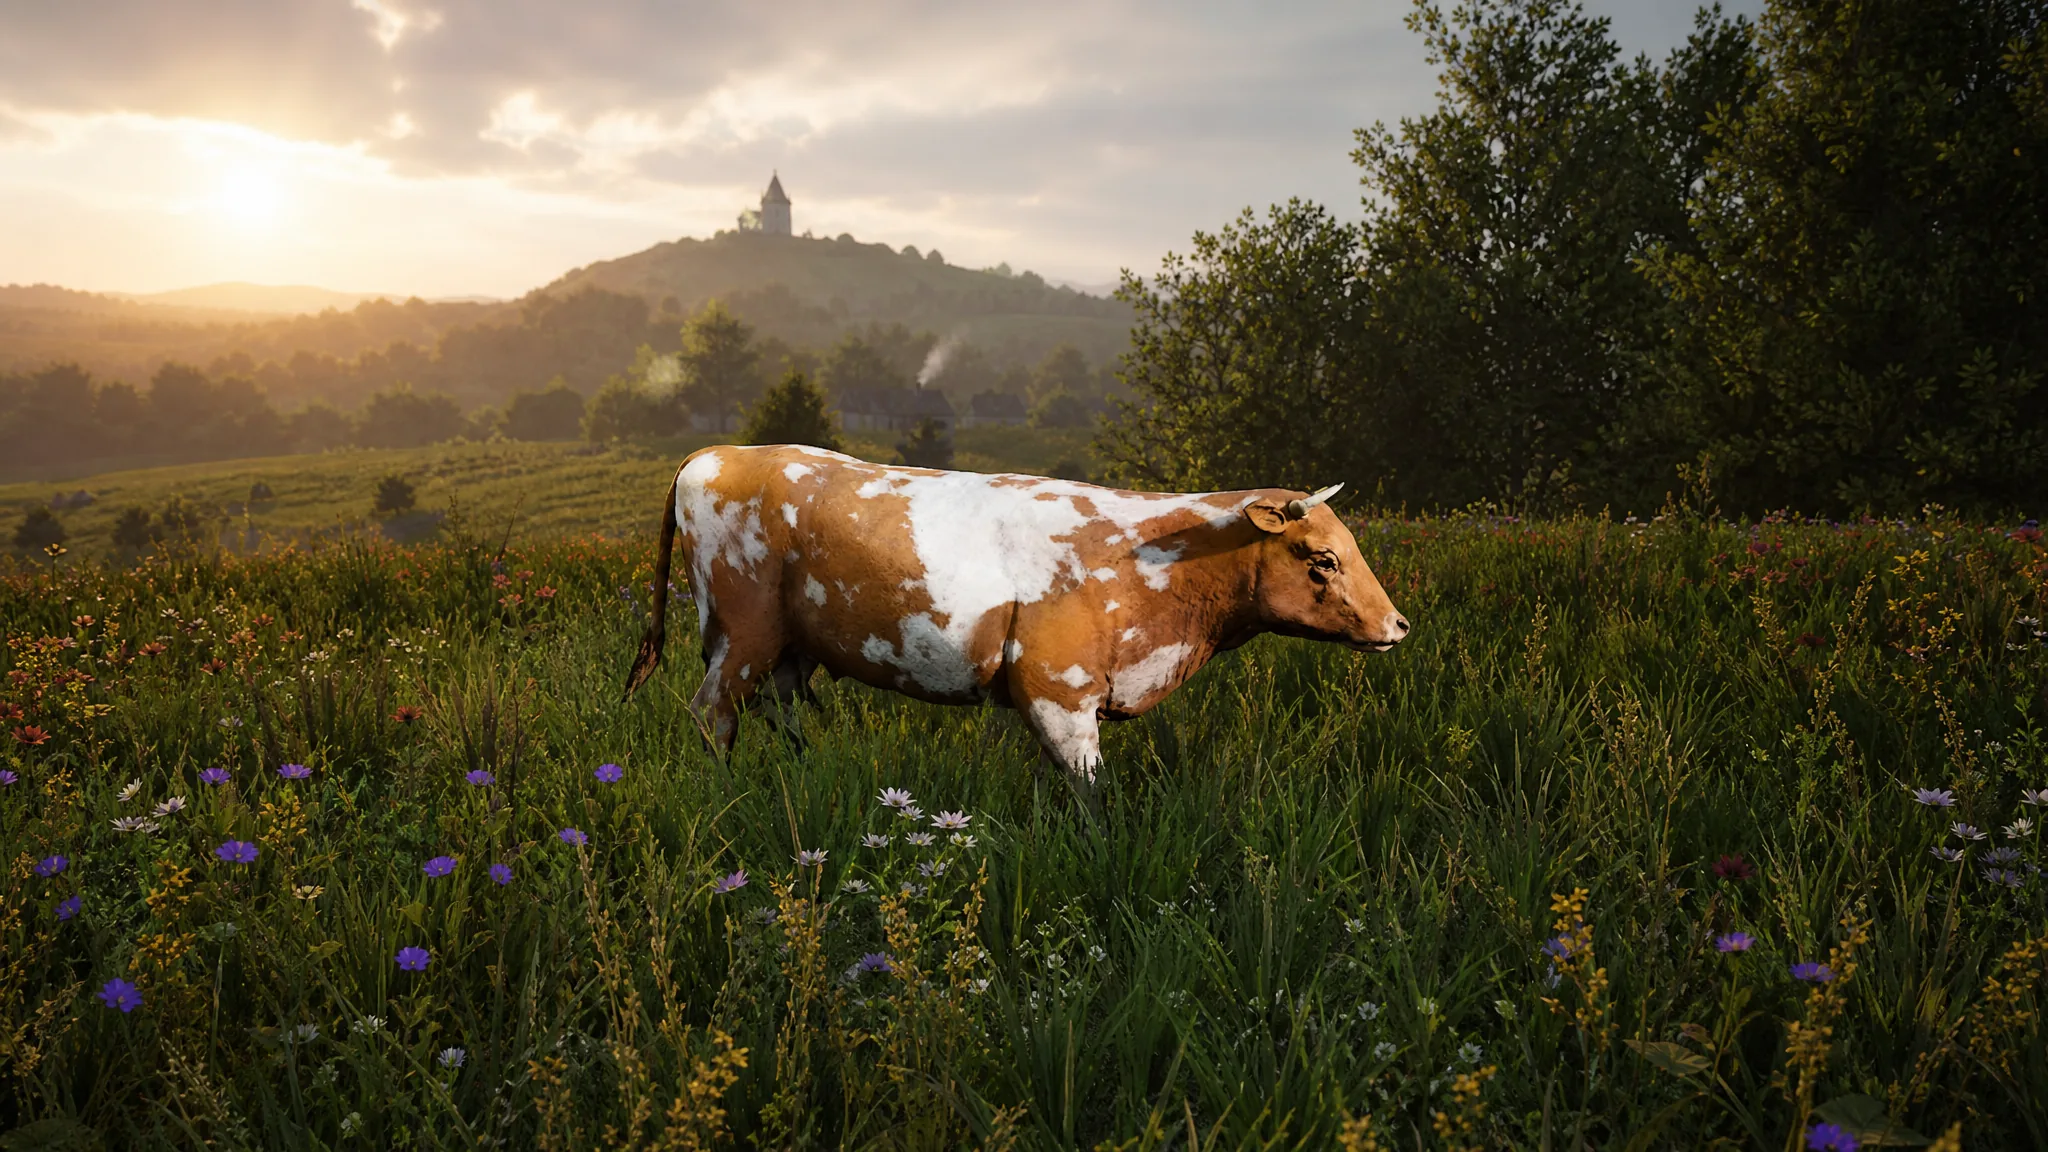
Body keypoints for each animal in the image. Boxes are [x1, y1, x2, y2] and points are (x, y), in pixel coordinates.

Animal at [623, 445, 1408, 784]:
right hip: (742, 632)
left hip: (790, 643)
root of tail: (716, 453)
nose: (1398, 626)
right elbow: (1091, 793)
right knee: (713, 713)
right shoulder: (1059, 690)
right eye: (1322, 559)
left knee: (780, 709)